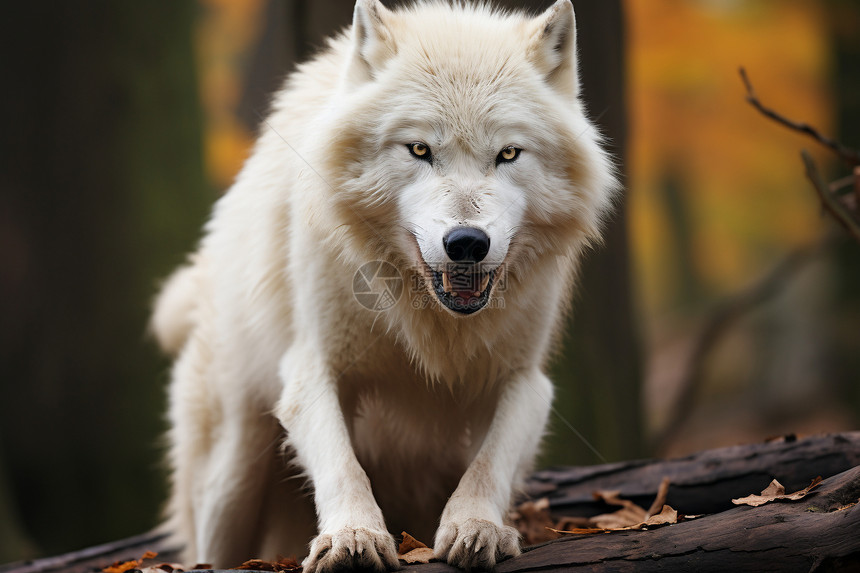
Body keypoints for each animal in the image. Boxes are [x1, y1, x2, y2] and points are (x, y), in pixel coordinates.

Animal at [151, 2, 616, 568]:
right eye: (419, 149)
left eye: (508, 154)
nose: (467, 242)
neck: (428, 318)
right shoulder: (314, 366)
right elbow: (343, 464)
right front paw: (353, 536)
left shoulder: (525, 379)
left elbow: (489, 463)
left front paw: (477, 527)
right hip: (232, 474)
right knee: (209, 546)